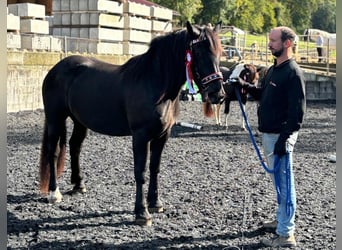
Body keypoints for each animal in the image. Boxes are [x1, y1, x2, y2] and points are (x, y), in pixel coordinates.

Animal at [38, 21, 224, 225]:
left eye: (218, 53)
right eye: (199, 52)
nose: (218, 94)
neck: (154, 83)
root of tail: (55, 69)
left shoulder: (162, 135)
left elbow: (154, 168)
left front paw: (155, 203)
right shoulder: (140, 136)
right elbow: (140, 172)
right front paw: (142, 213)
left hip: (79, 121)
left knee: (75, 146)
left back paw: (79, 185)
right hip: (55, 118)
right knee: (53, 151)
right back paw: (54, 193)